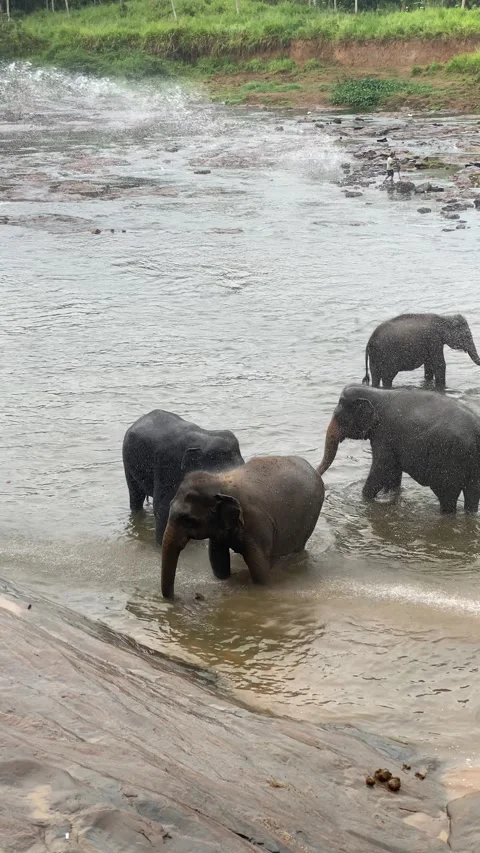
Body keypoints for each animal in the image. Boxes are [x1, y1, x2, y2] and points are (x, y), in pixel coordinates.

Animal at [161, 456, 325, 598]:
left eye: (188, 520)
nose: (178, 597)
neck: (220, 481)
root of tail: (314, 470)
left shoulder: (256, 525)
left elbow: (260, 570)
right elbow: (218, 562)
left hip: (309, 518)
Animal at [318, 384, 480, 514]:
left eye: (338, 416)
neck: (376, 392)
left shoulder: (384, 435)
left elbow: (381, 468)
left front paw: (365, 498)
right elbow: (393, 471)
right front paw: (387, 496)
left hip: (449, 462)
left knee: (448, 497)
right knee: (472, 495)